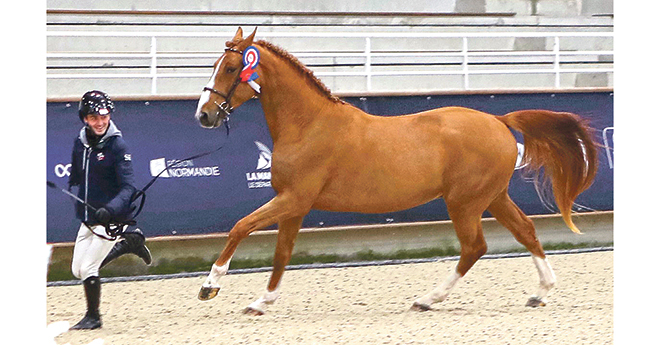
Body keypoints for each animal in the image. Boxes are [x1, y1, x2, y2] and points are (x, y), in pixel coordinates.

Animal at [192, 28, 600, 314]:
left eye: (232, 67)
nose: (204, 115)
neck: (309, 125)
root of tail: (499, 121)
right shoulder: (294, 206)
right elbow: (281, 254)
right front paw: (262, 302)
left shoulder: (293, 199)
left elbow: (240, 227)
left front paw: (211, 285)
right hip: (493, 197)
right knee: (525, 231)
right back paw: (540, 293)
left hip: (465, 202)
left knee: (475, 247)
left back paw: (428, 299)